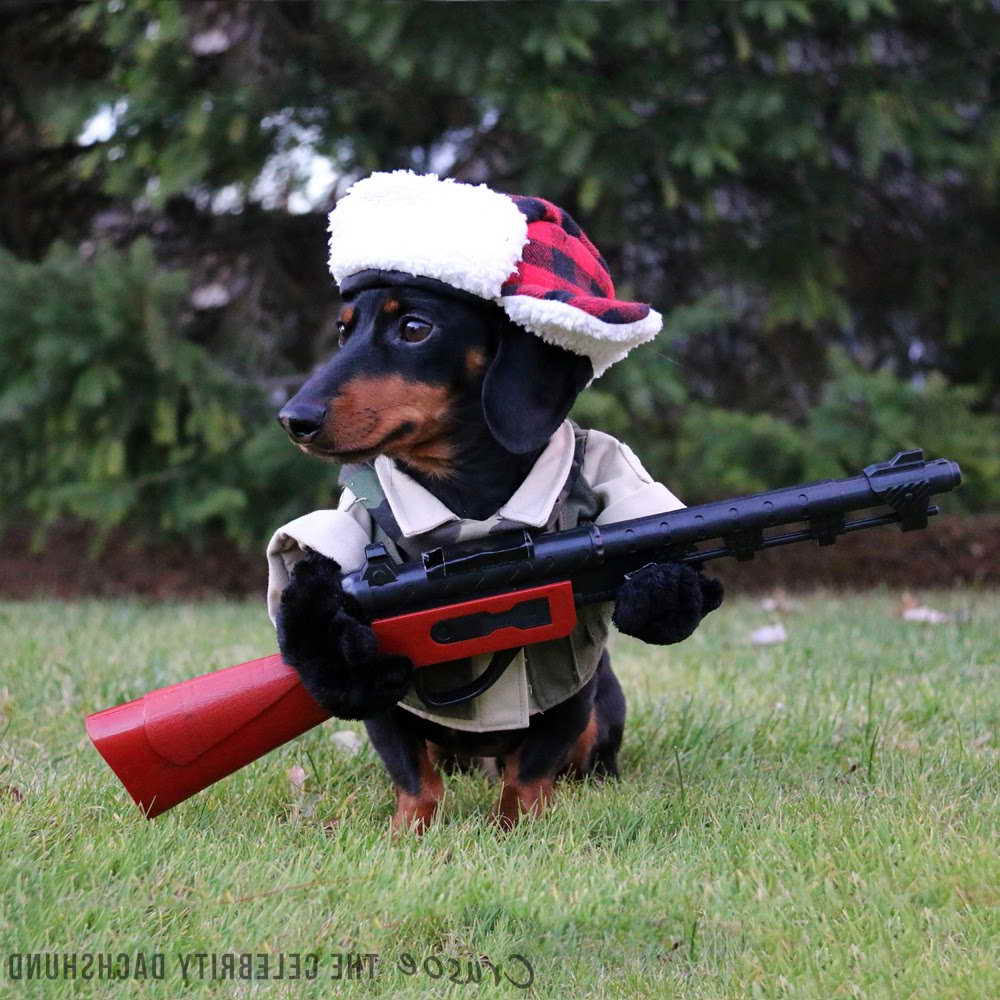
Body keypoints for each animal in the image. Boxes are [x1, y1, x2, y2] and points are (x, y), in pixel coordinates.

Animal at [278, 272, 724, 828]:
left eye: (415, 328)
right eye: (344, 331)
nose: (293, 419)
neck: (468, 498)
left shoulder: (572, 680)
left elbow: (531, 770)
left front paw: (515, 824)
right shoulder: (383, 684)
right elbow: (412, 774)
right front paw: (410, 830)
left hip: (602, 711)